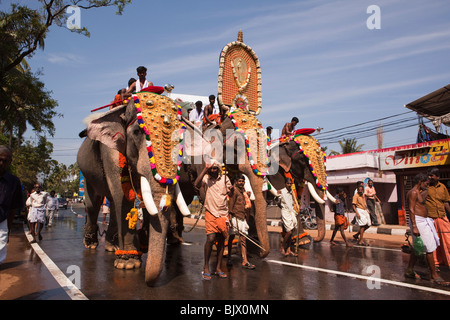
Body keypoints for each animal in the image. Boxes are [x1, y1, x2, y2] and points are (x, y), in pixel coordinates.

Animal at [77, 92, 190, 284]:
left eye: (181, 137)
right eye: (137, 132)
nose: (148, 282)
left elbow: (141, 199)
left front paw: (139, 249)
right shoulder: (110, 150)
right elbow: (124, 198)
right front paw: (128, 264)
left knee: (112, 203)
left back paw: (112, 247)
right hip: (86, 172)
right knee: (94, 204)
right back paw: (91, 244)